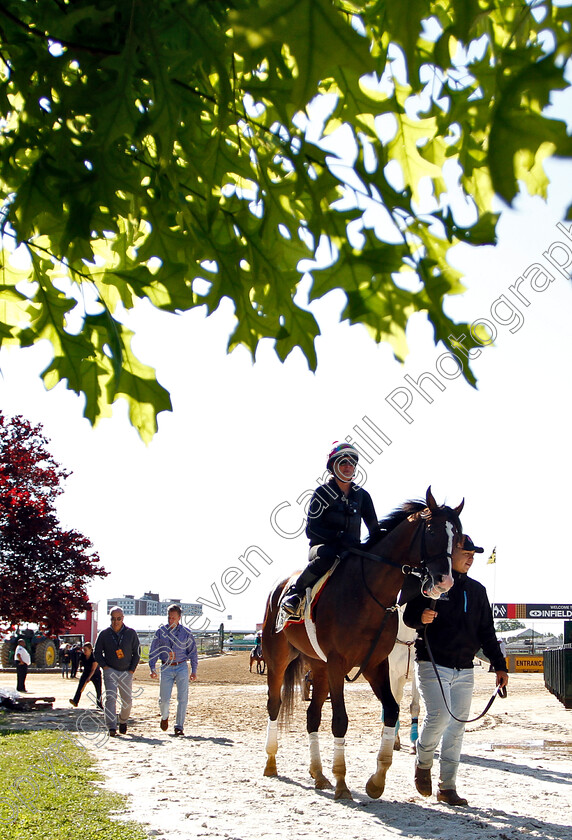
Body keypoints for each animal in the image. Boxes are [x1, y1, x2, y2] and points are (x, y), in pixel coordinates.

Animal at [262, 486, 462, 800]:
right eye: (432, 531)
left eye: (460, 535)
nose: (445, 582)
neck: (367, 592)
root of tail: (278, 588)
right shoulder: (338, 664)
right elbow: (340, 721)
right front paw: (343, 782)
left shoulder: (374, 665)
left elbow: (391, 711)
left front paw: (376, 780)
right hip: (278, 660)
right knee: (274, 705)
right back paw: (271, 762)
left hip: (318, 667)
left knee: (312, 715)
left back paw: (318, 774)